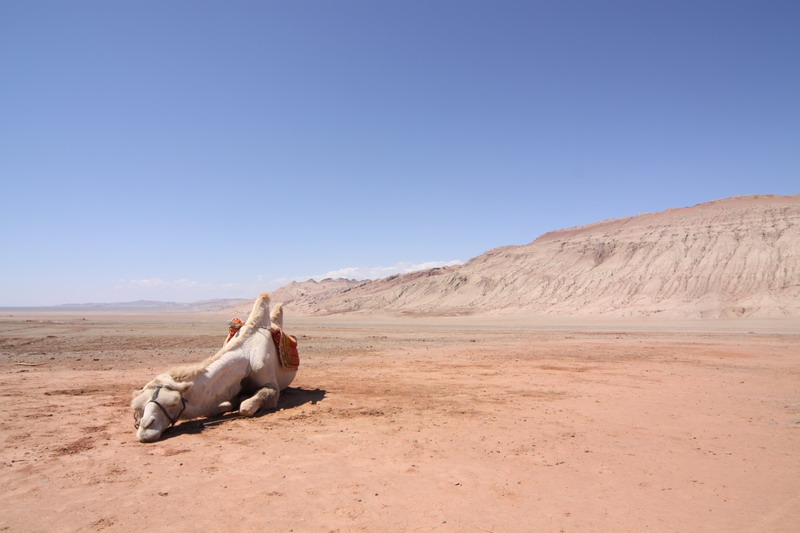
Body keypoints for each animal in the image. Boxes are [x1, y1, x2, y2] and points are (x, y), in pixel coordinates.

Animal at [130, 290, 296, 440]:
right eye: (139, 407)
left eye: (173, 403)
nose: (145, 428)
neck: (246, 359)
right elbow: (212, 409)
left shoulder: (272, 387)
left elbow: (246, 407)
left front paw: (244, 401)